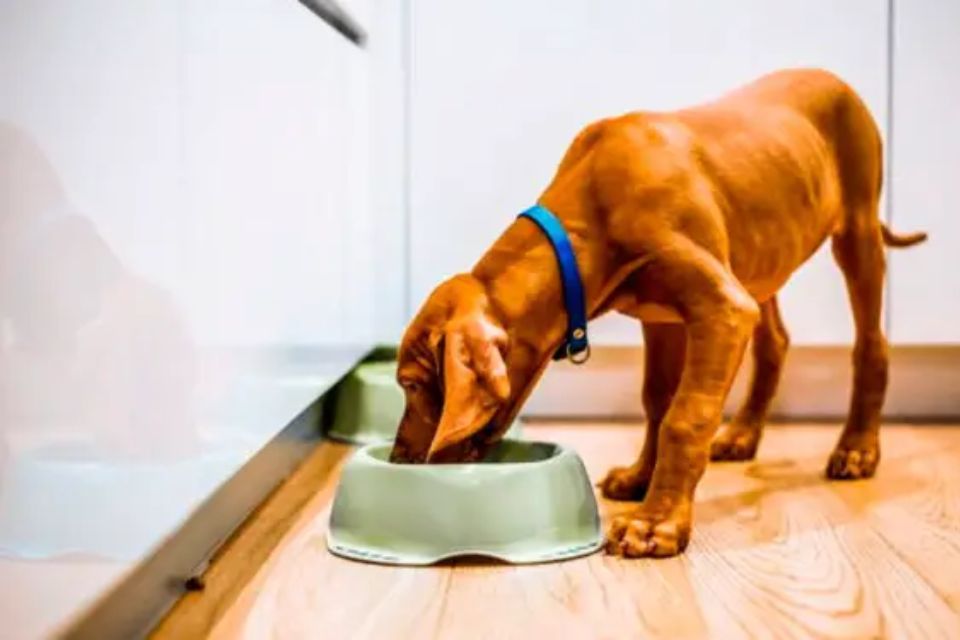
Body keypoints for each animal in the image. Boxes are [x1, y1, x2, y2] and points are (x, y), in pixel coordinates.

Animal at [386, 70, 928, 556]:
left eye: (411, 384)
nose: (398, 459)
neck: (588, 210)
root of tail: (834, 78)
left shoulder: (723, 309)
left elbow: (685, 416)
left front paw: (657, 524)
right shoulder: (662, 318)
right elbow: (656, 402)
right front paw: (640, 478)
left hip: (856, 229)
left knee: (871, 343)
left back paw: (857, 448)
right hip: (759, 261)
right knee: (776, 341)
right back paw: (742, 435)